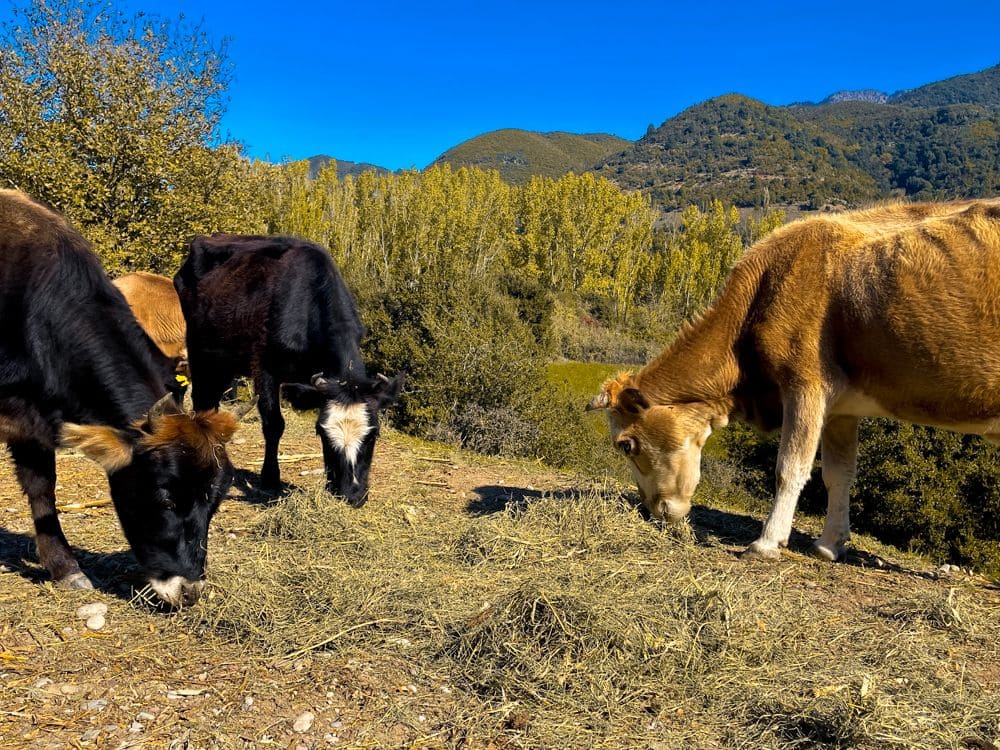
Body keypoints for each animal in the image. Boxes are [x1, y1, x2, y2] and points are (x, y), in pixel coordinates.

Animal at [0, 191, 242, 608]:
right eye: (165, 499)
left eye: (215, 503)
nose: (190, 591)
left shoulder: (30, 421)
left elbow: (42, 488)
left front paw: (65, 568)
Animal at [173, 232, 402, 508]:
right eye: (321, 433)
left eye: (374, 434)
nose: (352, 493)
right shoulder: (265, 368)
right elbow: (274, 424)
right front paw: (271, 479)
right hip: (200, 350)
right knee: (202, 399)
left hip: (225, 359)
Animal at [584, 200, 1000, 564]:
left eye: (625, 444)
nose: (651, 510)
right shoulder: (842, 408)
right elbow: (838, 474)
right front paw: (829, 545)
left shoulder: (806, 384)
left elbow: (790, 467)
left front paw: (766, 542)